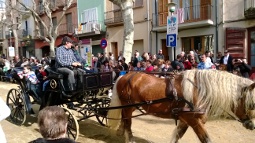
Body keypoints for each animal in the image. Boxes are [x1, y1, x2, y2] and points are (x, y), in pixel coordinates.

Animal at [106, 69, 255, 142]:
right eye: (251, 104)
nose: (251, 125)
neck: (198, 91)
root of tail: (124, 76)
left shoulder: (185, 120)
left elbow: (177, 136)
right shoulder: (194, 120)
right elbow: (206, 139)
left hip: (129, 107)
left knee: (125, 121)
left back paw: (120, 132)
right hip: (127, 106)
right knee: (128, 123)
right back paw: (129, 139)